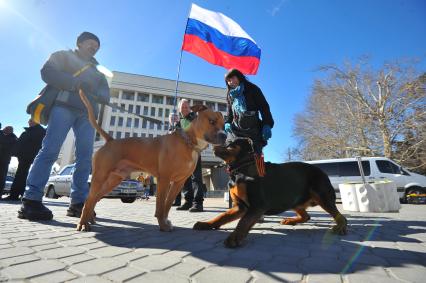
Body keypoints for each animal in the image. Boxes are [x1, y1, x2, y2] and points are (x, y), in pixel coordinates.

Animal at [77, 91, 226, 233]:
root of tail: (111, 140)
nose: (224, 135)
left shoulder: (178, 182)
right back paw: (83, 223)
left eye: (224, 125)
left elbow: (167, 205)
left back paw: (89, 219)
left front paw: (165, 221)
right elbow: (160, 206)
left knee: (94, 199)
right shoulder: (164, 179)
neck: (188, 142)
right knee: (89, 199)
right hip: (100, 178)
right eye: (211, 121)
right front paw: (162, 225)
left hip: (112, 181)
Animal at [193, 138, 346, 248]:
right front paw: (206, 224)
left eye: (230, 143)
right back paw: (291, 220)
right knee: (306, 216)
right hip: (293, 200)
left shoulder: (257, 206)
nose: (211, 144)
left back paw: (340, 227)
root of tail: (322, 172)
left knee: (340, 216)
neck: (241, 168)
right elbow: (222, 216)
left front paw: (234, 237)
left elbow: (243, 222)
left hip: (322, 196)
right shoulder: (240, 206)